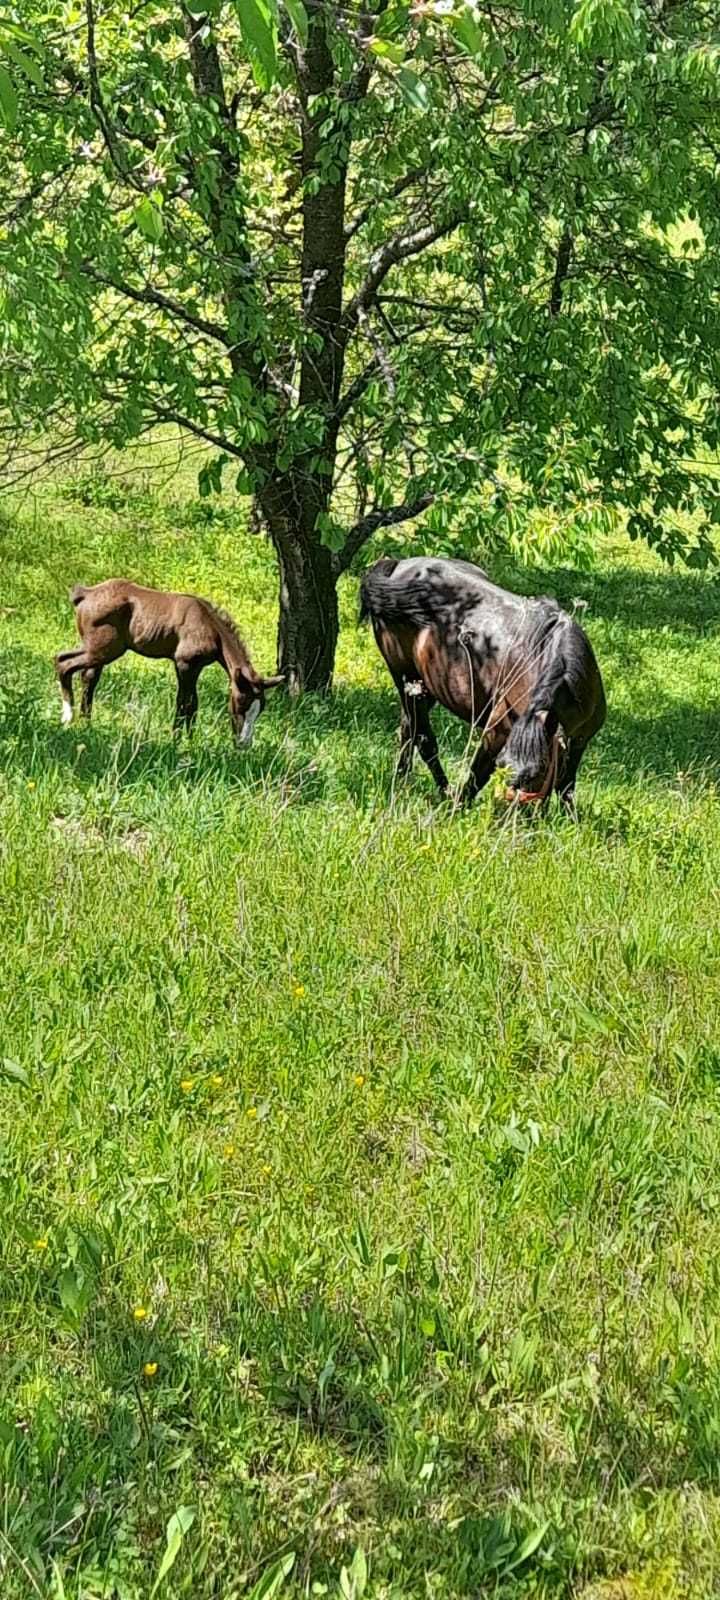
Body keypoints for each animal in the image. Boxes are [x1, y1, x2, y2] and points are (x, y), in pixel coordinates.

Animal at [54, 582, 284, 742]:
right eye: (241, 703)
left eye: (260, 709)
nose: (244, 743)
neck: (211, 627)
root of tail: (86, 593)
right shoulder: (184, 664)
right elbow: (186, 702)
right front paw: (178, 739)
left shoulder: (195, 667)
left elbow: (192, 703)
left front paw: (189, 739)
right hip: (103, 650)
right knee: (63, 663)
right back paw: (67, 717)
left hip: (96, 649)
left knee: (84, 675)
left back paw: (86, 723)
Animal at [360, 560, 608, 812]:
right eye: (504, 765)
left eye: (538, 772)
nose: (510, 815)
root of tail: (398, 566)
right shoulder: (497, 729)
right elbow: (477, 774)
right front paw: (457, 809)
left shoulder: (578, 742)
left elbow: (567, 787)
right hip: (405, 679)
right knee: (423, 738)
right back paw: (439, 790)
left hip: (425, 688)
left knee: (408, 729)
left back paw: (403, 781)